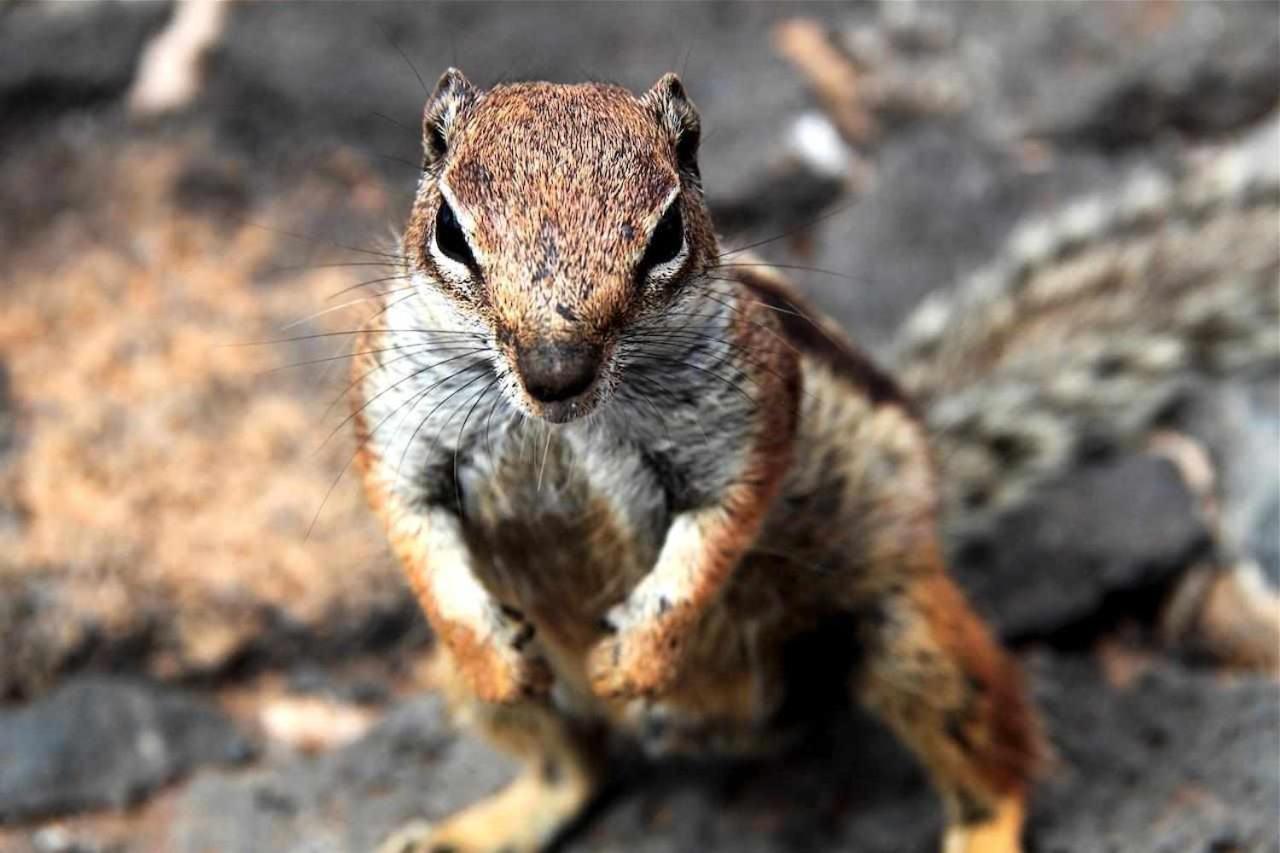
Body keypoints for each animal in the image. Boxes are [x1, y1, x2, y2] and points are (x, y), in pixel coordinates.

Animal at [350, 68, 1039, 850]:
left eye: (667, 233)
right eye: (450, 231)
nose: (556, 371)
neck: (559, 433)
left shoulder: (748, 416)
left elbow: (711, 538)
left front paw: (640, 655)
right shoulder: (396, 415)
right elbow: (410, 515)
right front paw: (490, 650)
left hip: (909, 630)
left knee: (988, 752)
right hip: (470, 686)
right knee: (571, 769)